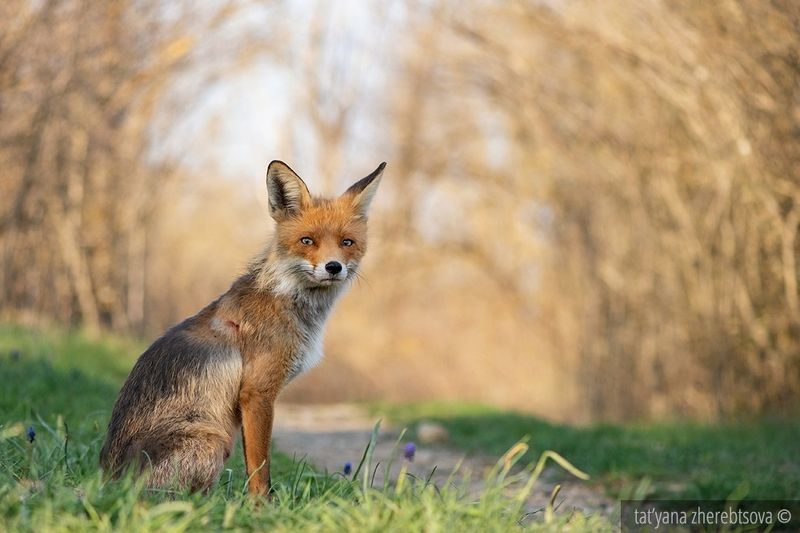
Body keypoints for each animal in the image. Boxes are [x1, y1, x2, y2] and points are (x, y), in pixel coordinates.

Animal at [99, 160, 385, 496]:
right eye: (307, 241)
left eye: (346, 243)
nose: (333, 267)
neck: (284, 298)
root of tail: (106, 478)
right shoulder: (257, 392)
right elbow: (260, 469)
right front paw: (262, 505)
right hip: (214, 441)